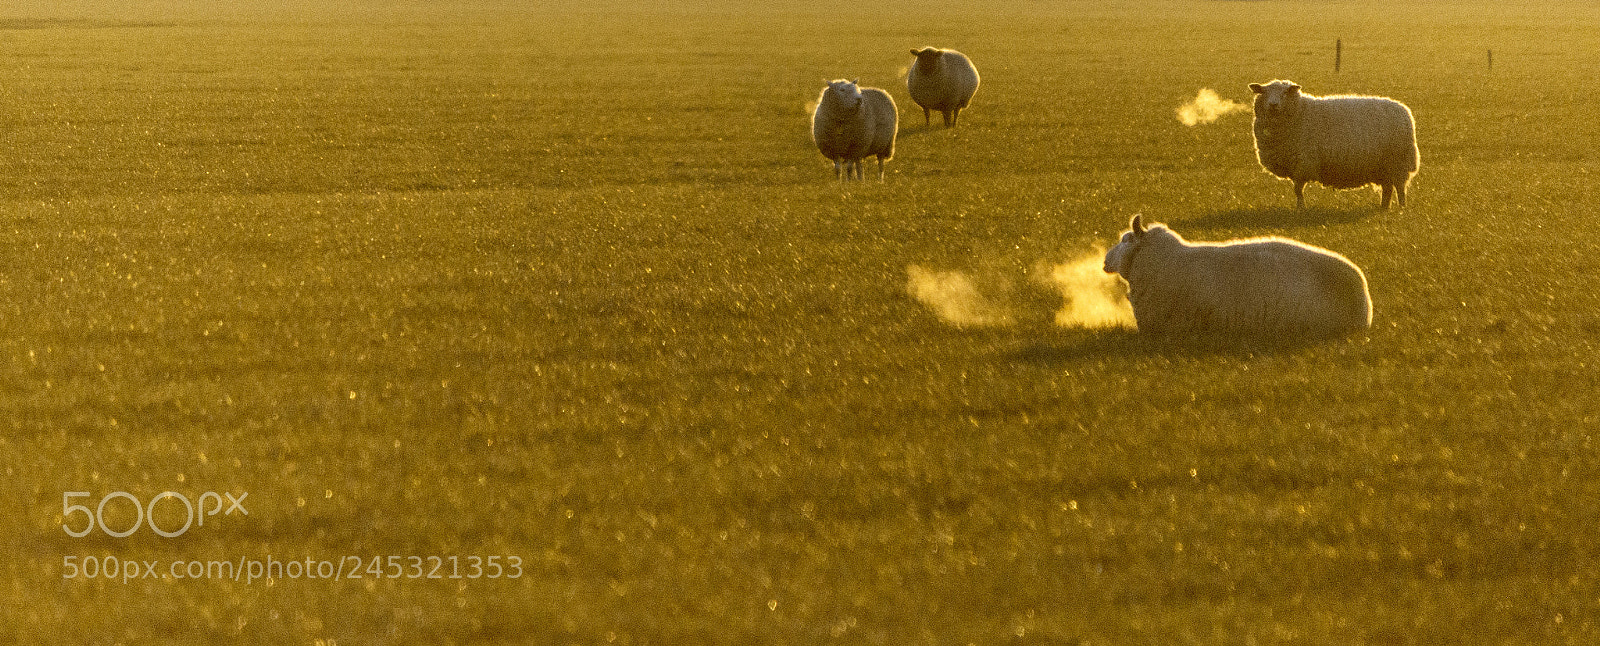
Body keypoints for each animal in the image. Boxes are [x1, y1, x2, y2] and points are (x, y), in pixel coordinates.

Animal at [1249, 79, 1419, 209]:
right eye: (1264, 92)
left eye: (1285, 93)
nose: (1273, 105)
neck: (1300, 111)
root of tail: (1404, 110)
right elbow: (1297, 190)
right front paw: (1300, 208)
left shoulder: (1303, 163)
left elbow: (1297, 190)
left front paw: (1301, 209)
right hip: (1383, 166)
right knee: (1388, 188)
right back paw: (1384, 207)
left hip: (1399, 162)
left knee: (1400, 188)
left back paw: (1401, 208)